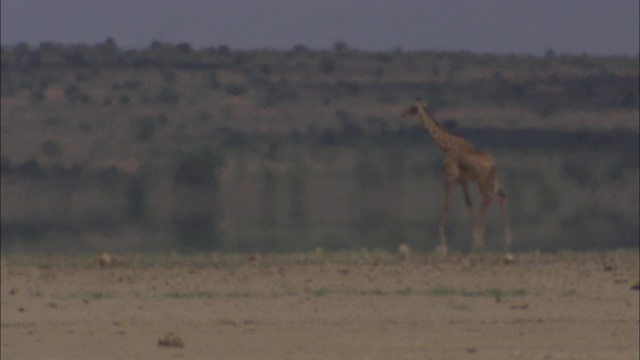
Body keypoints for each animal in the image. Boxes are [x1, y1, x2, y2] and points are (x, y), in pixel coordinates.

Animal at [402, 97, 512, 258]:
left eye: (413, 107)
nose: (403, 113)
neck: (447, 145)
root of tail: (494, 165)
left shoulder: (449, 177)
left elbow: (447, 204)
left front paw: (443, 243)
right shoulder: (463, 180)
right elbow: (469, 204)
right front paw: (475, 239)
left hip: (481, 181)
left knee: (487, 199)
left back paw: (483, 243)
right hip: (492, 181)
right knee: (501, 198)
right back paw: (505, 243)